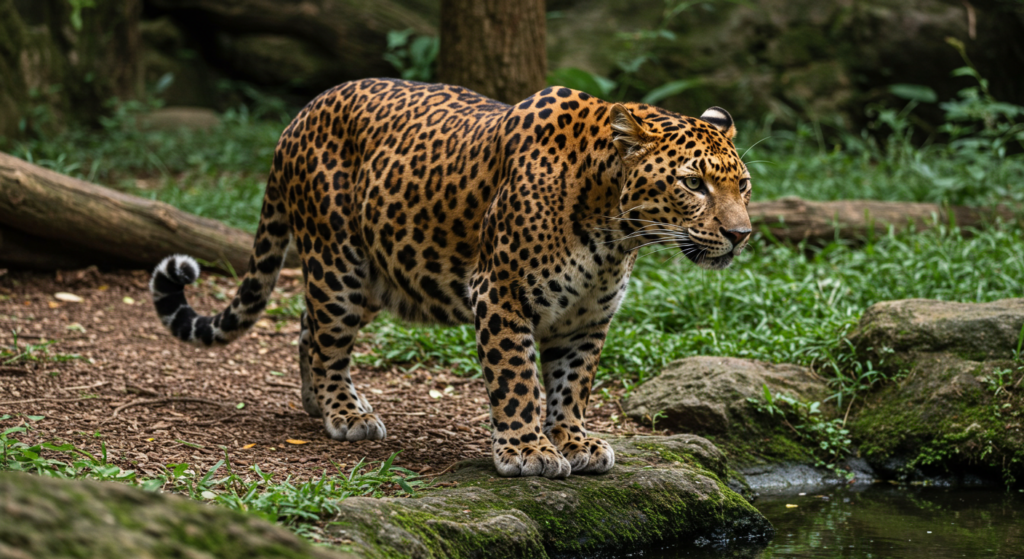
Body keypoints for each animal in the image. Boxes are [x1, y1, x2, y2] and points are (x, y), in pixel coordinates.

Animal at [148, 77, 753, 479]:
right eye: (693, 184)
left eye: (742, 184)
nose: (742, 234)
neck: (614, 232)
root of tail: (304, 111)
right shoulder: (502, 293)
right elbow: (517, 379)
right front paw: (528, 451)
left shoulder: (588, 316)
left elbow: (572, 383)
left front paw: (573, 440)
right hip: (338, 259)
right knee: (327, 337)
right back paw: (343, 412)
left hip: (376, 267)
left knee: (308, 324)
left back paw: (319, 400)